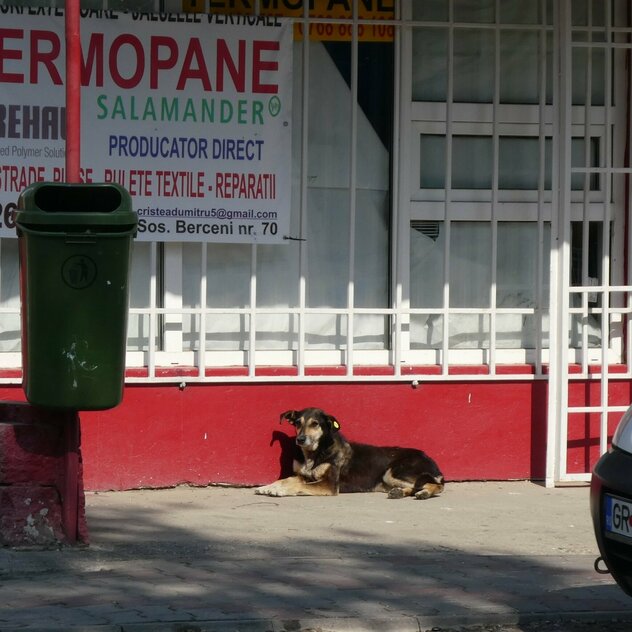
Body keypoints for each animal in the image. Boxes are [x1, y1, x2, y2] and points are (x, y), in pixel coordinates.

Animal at [253, 408, 444, 502]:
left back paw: (424, 493)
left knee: (436, 485)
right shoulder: (302, 475)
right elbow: (285, 479)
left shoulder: (329, 485)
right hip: (389, 479)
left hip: (393, 472)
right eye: (298, 423)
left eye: (315, 424)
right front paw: (269, 486)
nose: (300, 439)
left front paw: (279, 491)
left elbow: (297, 485)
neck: (316, 452)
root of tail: (431, 460)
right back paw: (399, 493)